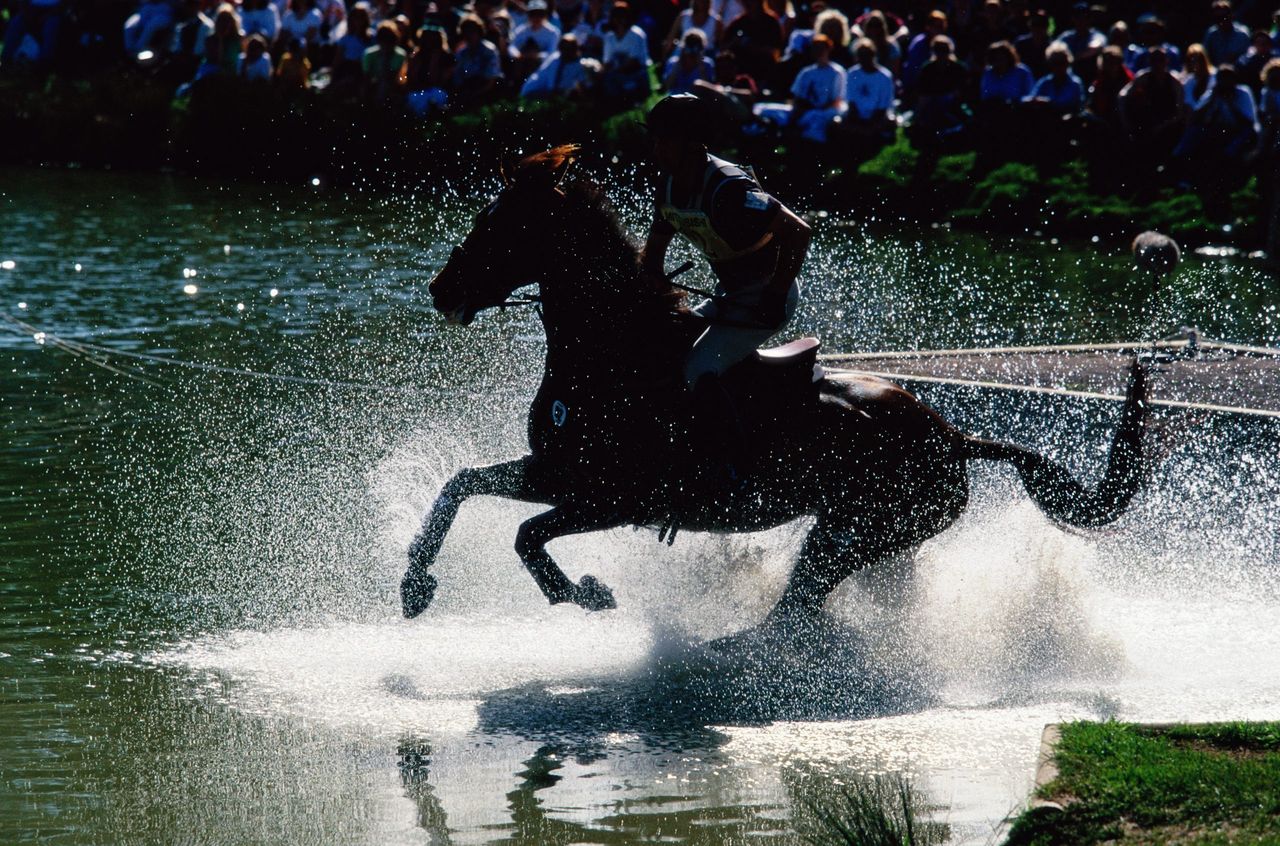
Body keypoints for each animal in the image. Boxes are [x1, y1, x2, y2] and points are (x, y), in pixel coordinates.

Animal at [401, 145, 1152, 619]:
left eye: (499, 225)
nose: (442, 290)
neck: (614, 352)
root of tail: (954, 436)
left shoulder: (620, 498)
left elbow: (526, 536)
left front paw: (584, 593)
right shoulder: (561, 473)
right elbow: (460, 486)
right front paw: (415, 585)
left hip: (855, 534)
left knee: (796, 613)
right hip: (869, 537)